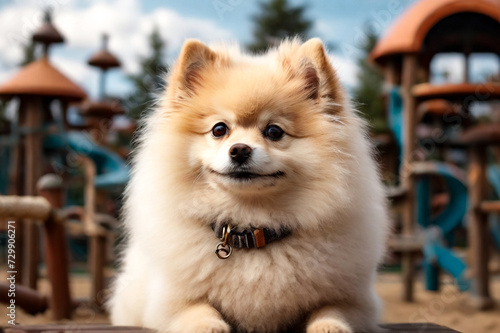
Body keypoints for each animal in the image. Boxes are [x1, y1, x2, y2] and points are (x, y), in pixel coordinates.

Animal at [110, 37, 390, 332]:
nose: (240, 150)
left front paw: (328, 326)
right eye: (219, 129)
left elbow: (332, 309)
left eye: (274, 131)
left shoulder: (357, 301)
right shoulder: (167, 304)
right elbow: (197, 309)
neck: (252, 229)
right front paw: (208, 325)